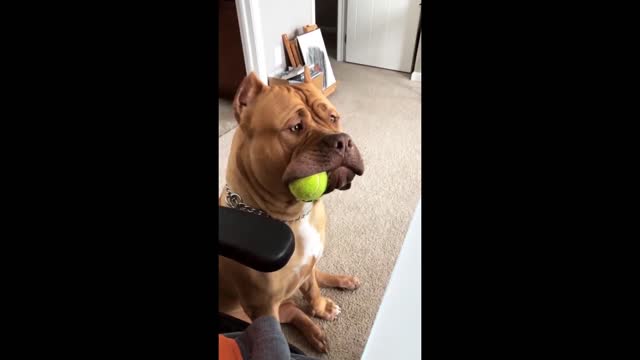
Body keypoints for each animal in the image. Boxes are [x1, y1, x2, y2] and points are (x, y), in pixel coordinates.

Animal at [218, 67, 362, 352]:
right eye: (296, 127)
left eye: (333, 117)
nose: (342, 140)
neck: (294, 216)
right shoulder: (263, 308)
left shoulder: (309, 264)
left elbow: (314, 288)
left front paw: (321, 306)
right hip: (260, 312)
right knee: (294, 311)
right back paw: (315, 333)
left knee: (315, 278)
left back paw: (342, 282)